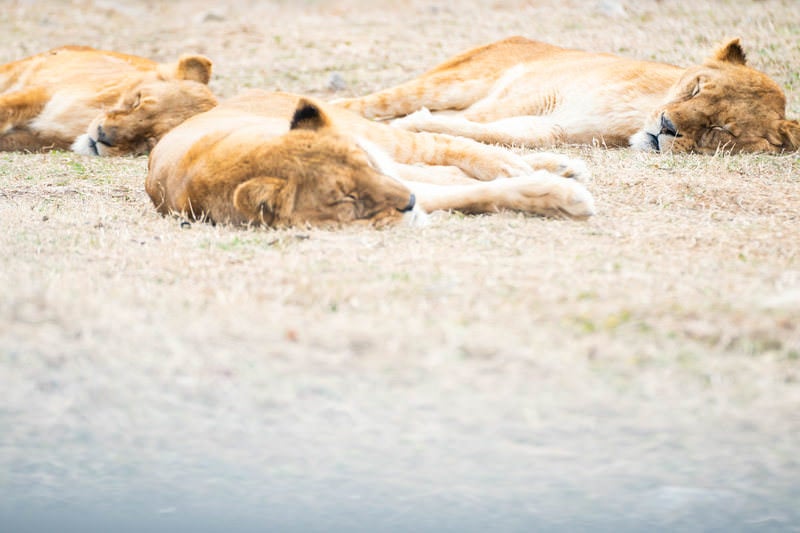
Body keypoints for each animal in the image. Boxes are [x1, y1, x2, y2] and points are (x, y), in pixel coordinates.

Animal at [144, 89, 596, 227]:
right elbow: (474, 194)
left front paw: (560, 193)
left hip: (385, 138)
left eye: (362, 162)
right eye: (345, 198)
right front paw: (557, 195)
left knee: (445, 146)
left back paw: (539, 164)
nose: (408, 202)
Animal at [332, 35, 800, 154]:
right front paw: (413, 126)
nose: (667, 127)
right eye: (697, 87)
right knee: (361, 104)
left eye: (722, 129)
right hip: (454, 80)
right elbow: (477, 120)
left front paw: (421, 128)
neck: (634, 116)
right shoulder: (533, 93)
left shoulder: (555, 129)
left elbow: (494, 133)